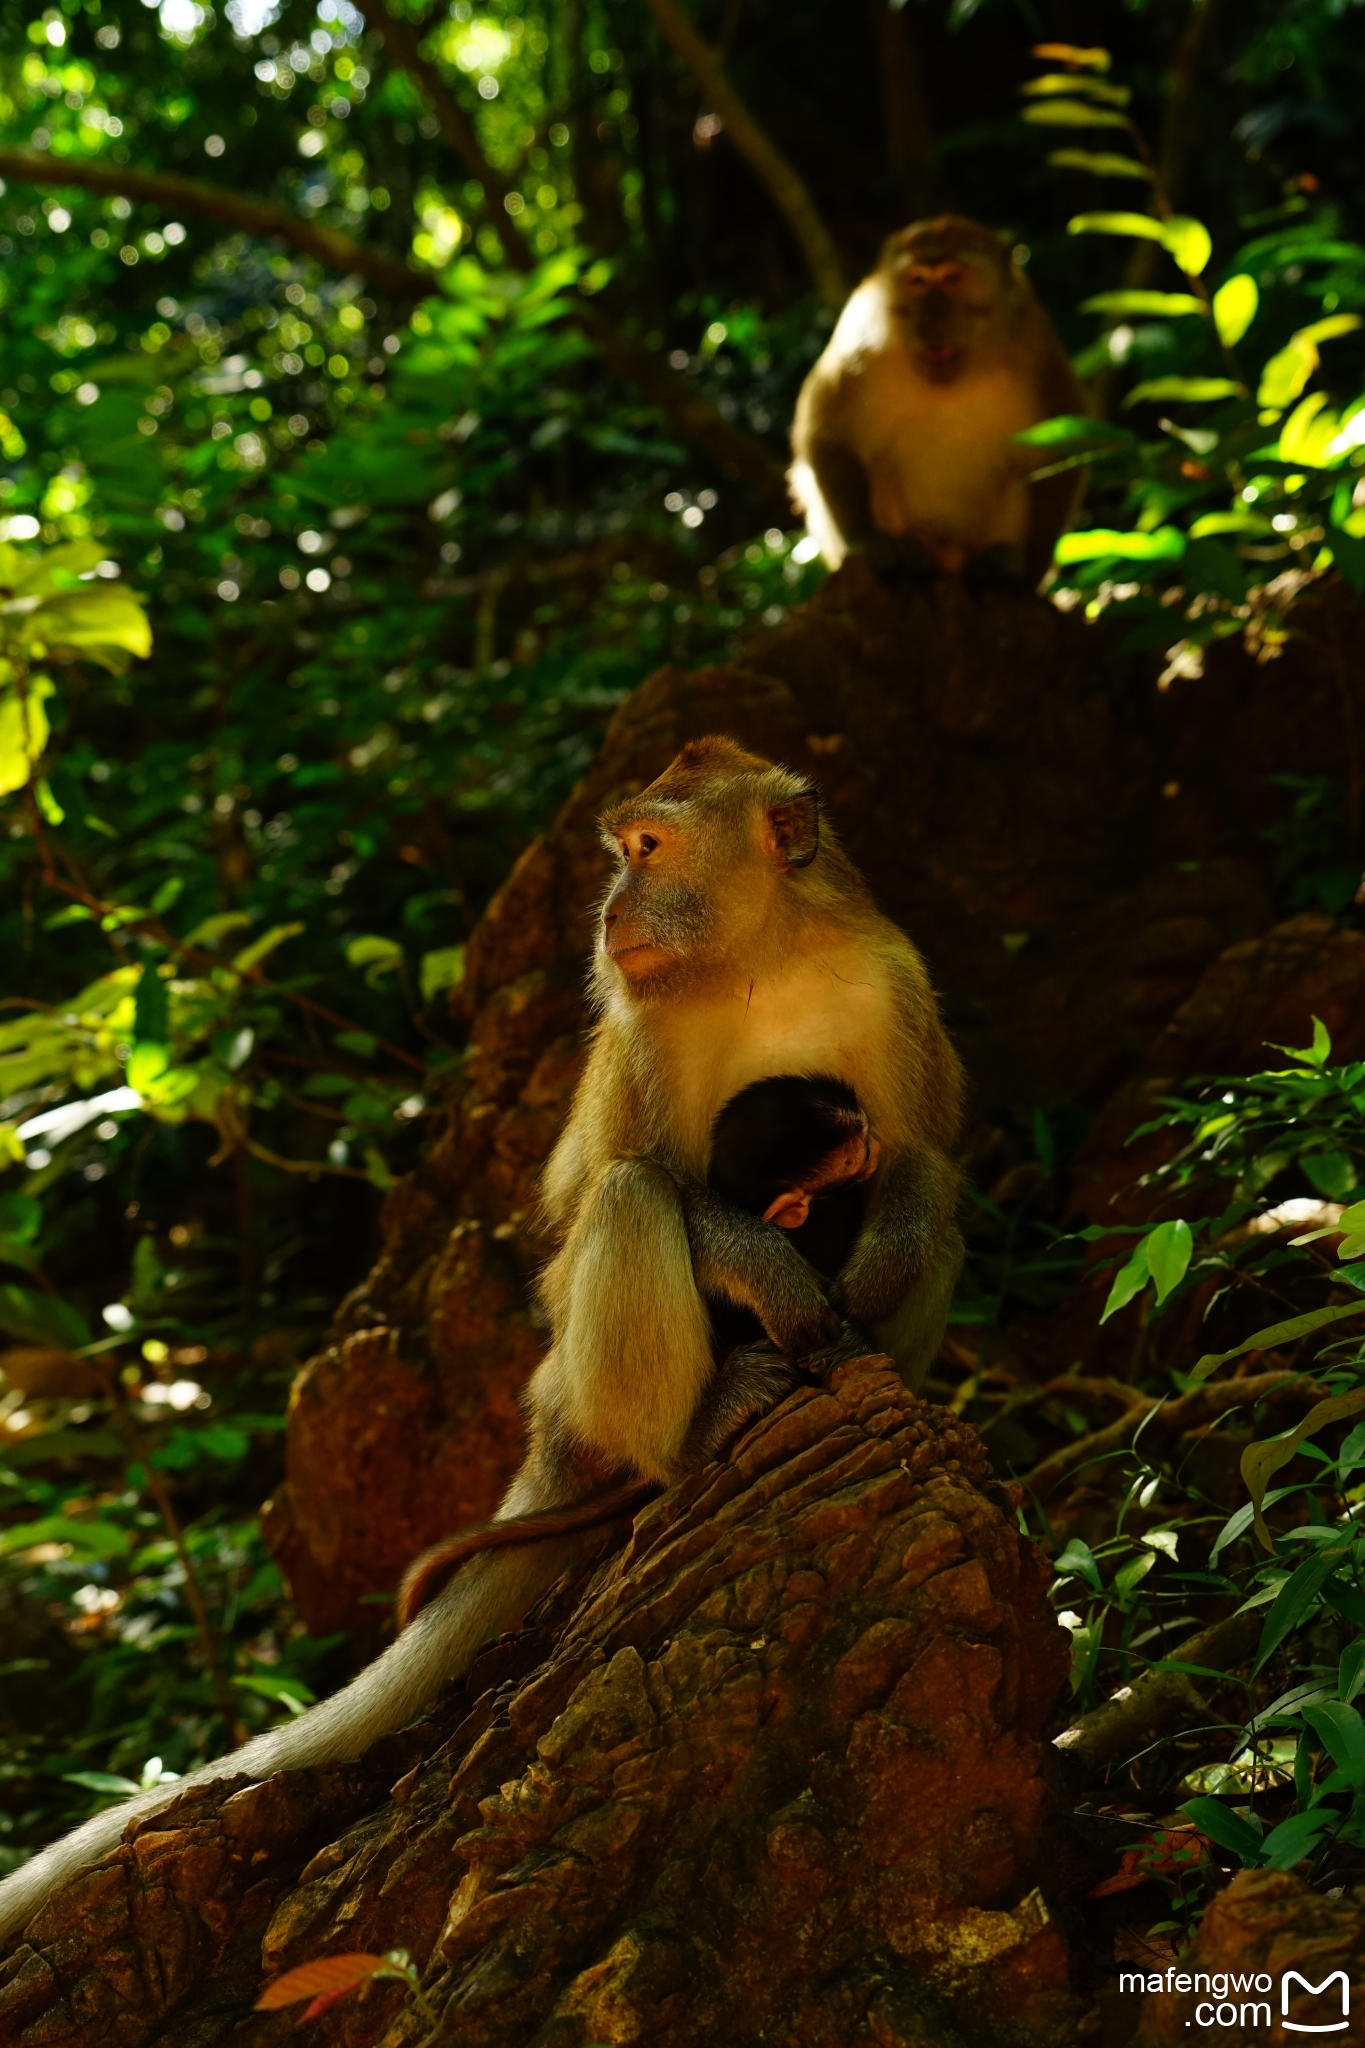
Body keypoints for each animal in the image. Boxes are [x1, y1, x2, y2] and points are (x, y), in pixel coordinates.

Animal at [0, 741, 961, 1949]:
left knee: (932, 1203)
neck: (766, 958)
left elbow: (924, 1155)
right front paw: (774, 1268)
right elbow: (610, 1194)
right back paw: (699, 1433)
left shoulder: (896, 982)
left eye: (649, 849)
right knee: (630, 1198)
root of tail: (555, 1417)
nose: (607, 912)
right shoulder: (641, 1034)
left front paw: (878, 1259)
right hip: (589, 1390)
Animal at [789, 212, 1088, 581]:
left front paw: (1032, 567)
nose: (932, 317)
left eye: (952, 278)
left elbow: (1060, 450)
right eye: (917, 280)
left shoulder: (1035, 337)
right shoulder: (859, 330)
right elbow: (828, 435)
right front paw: (869, 541)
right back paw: (908, 553)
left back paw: (998, 559)